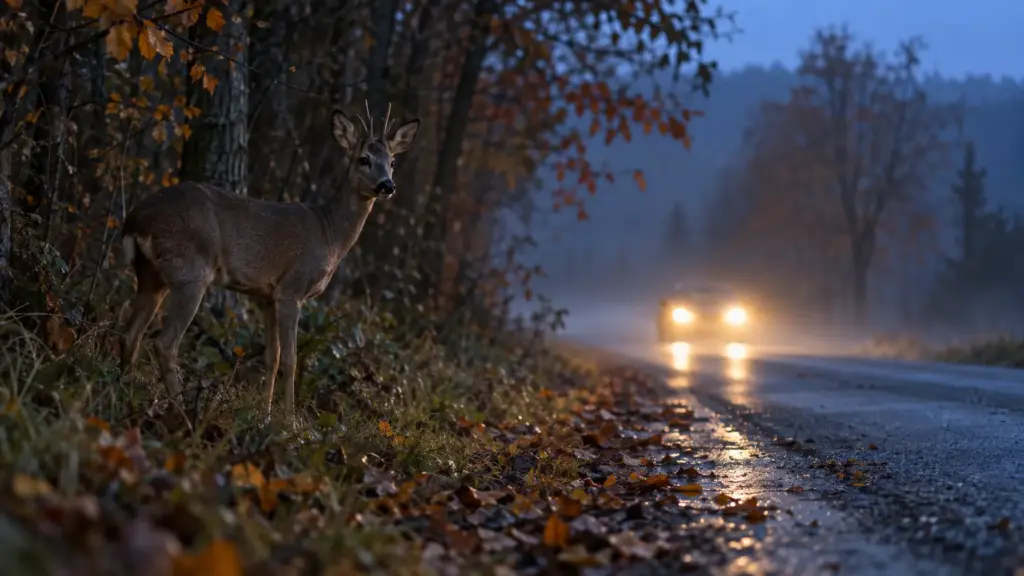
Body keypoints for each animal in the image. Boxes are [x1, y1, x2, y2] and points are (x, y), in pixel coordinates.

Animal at [117, 103, 420, 425]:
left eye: (392, 161)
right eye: (364, 159)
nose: (388, 185)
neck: (330, 234)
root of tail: (135, 220)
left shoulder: (267, 296)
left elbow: (271, 357)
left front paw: (265, 415)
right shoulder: (291, 289)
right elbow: (290, 358)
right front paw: (290, 421)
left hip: (151, 274)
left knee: (130, 333)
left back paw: (123, 392)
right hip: (191, 272)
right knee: (165, 343)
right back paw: (182, 411)